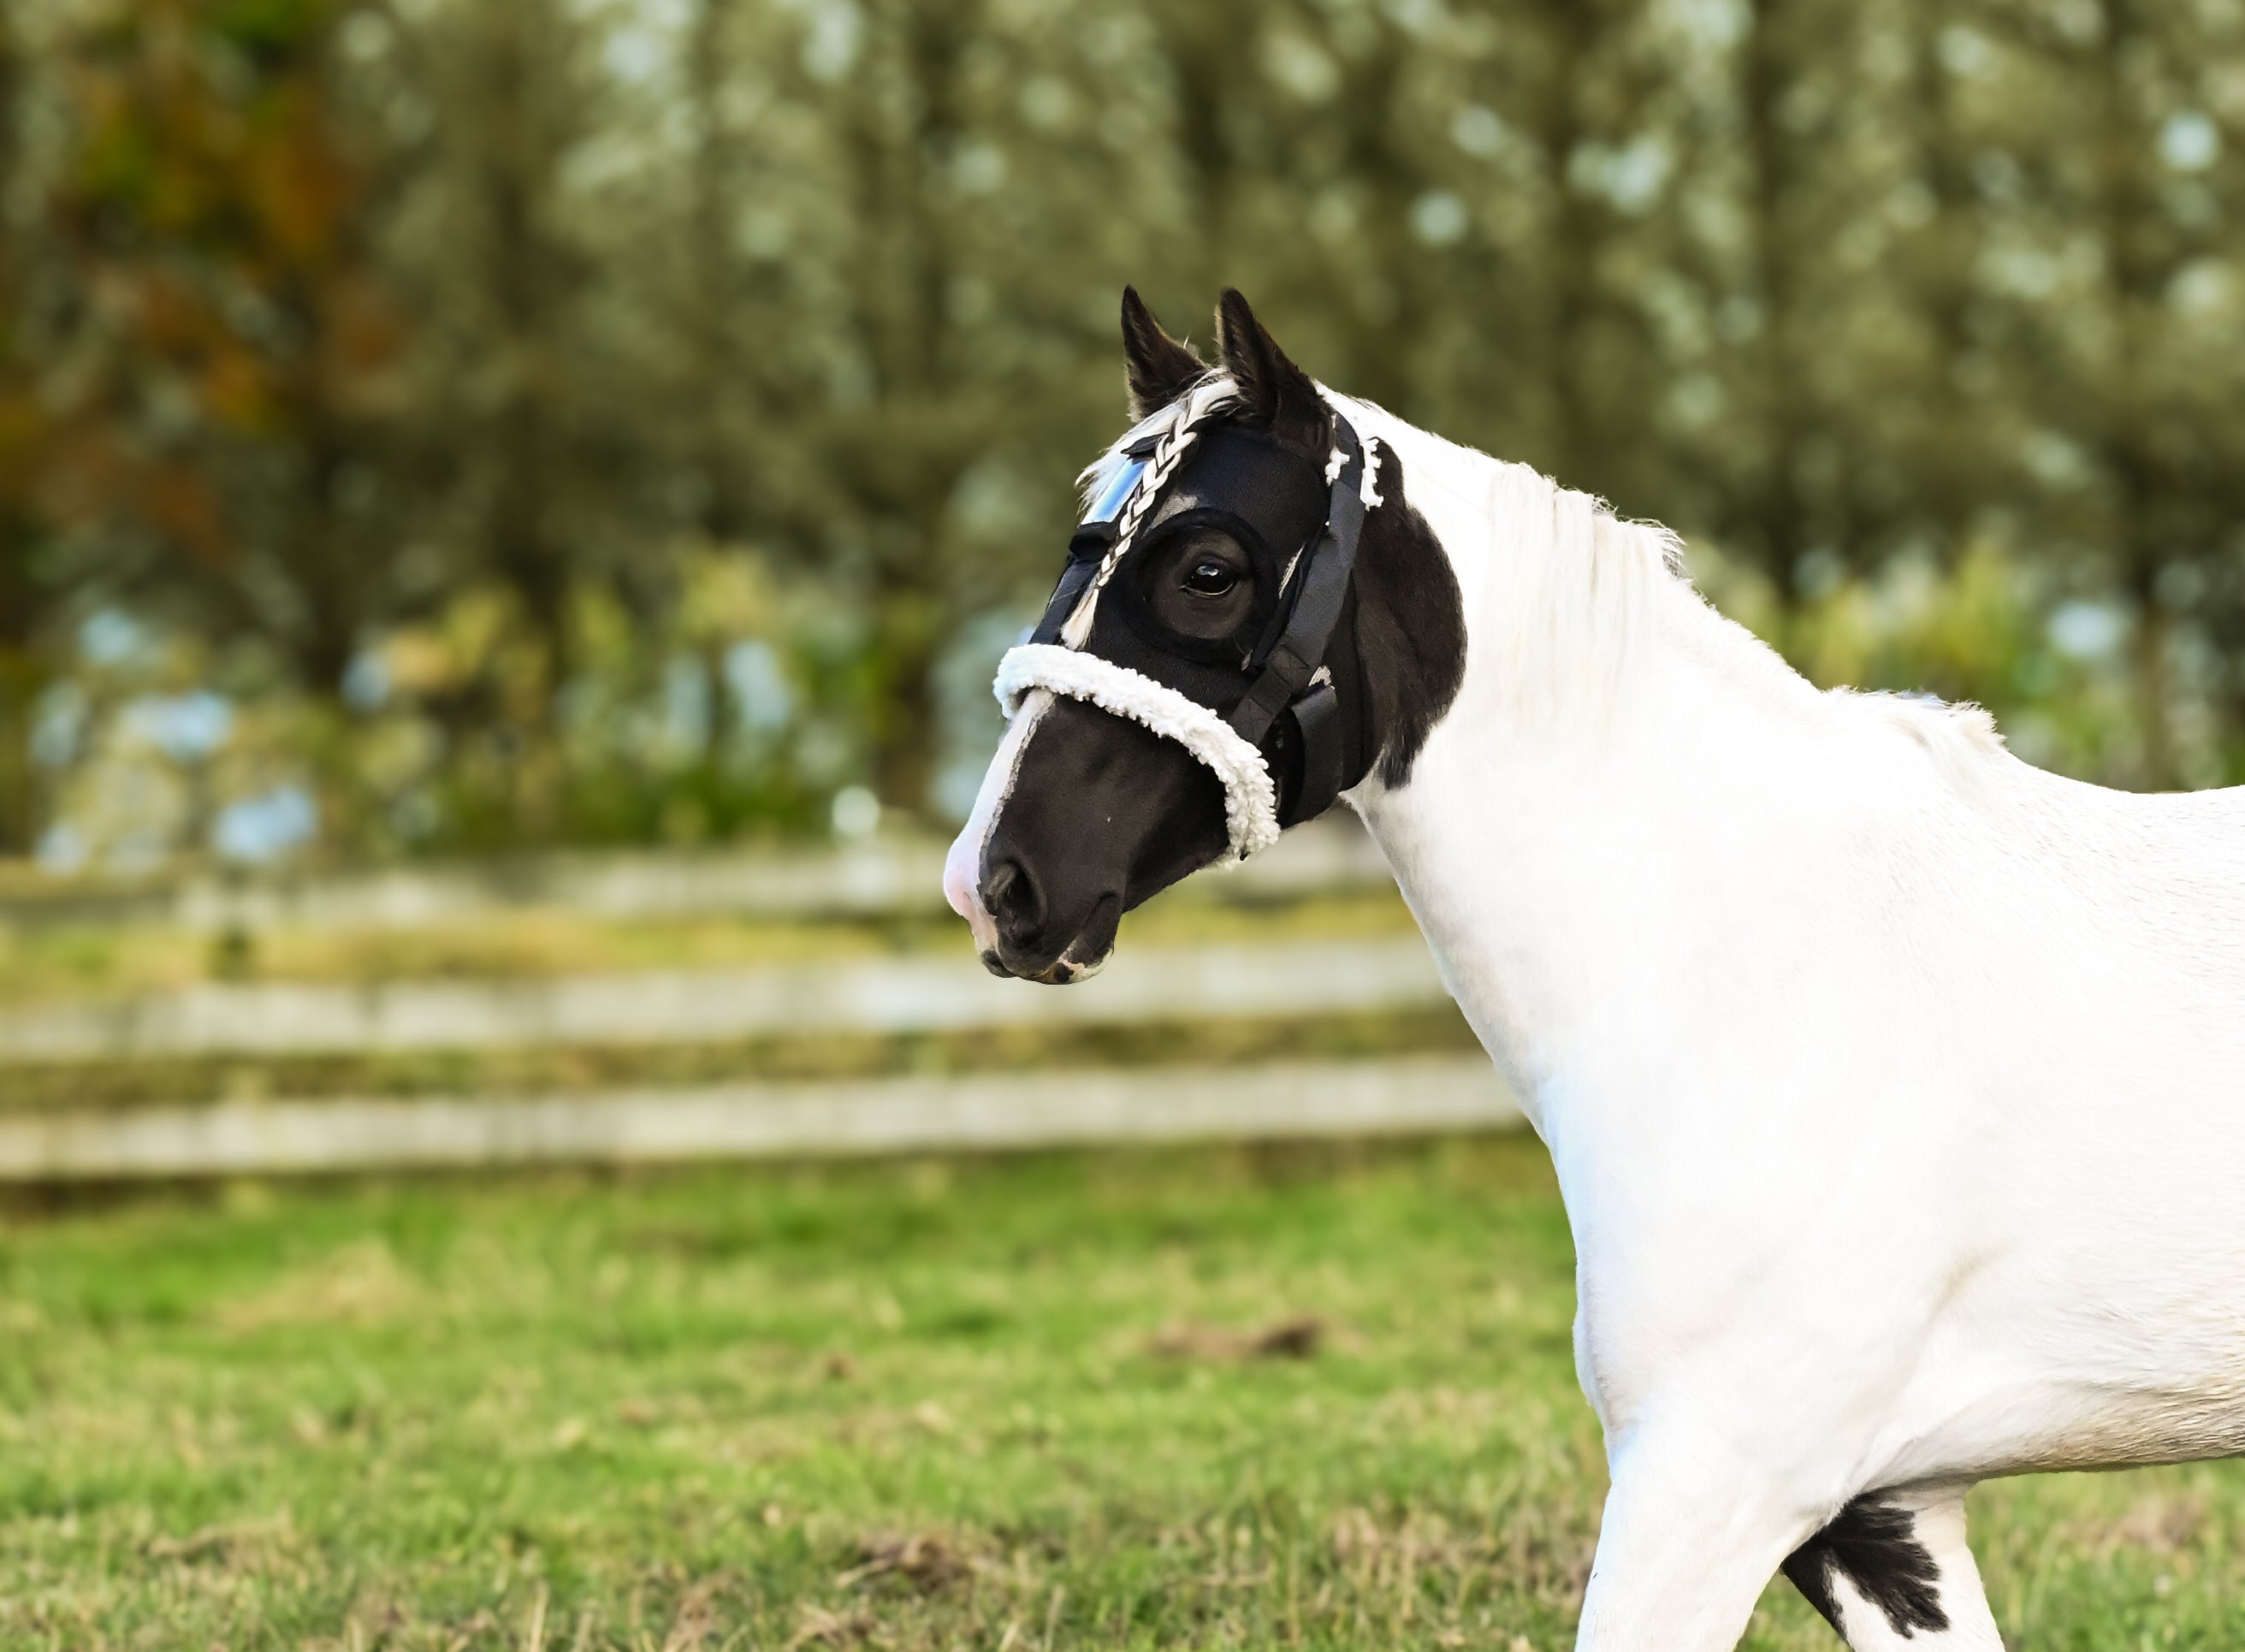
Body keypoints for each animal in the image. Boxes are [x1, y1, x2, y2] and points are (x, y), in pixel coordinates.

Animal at [943, 289, 2245, 1643]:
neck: (1756, 964)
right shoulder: (1881, 1512)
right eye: (1081, 538)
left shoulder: (1715, 1477)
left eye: (1207, 567)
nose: (996, 881)